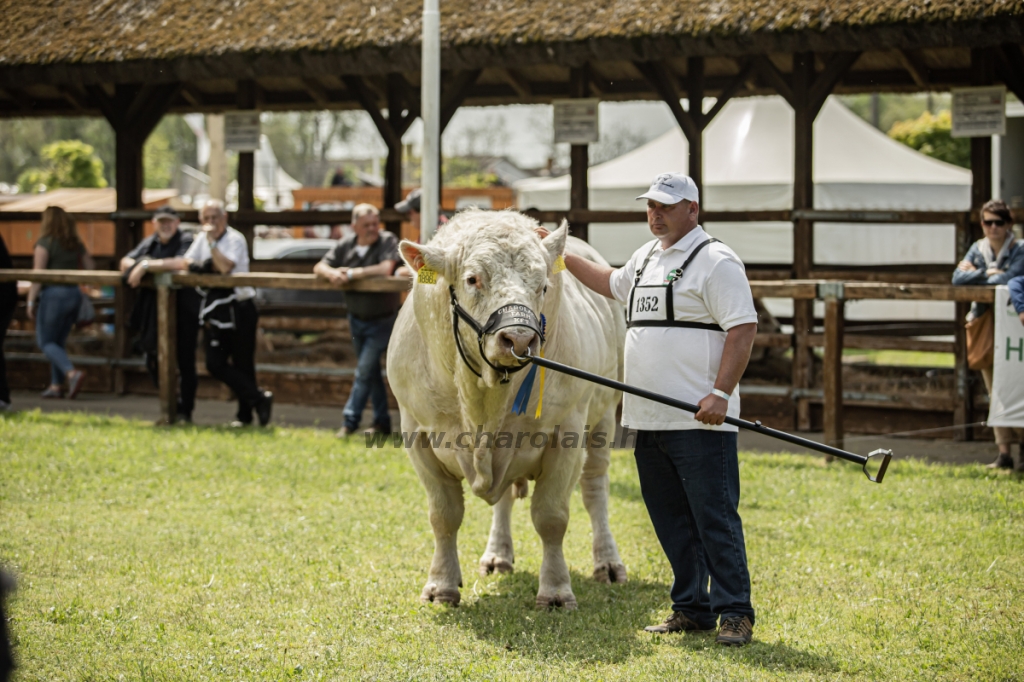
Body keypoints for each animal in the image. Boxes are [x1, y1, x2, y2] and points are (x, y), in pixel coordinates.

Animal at [391, 208, 626, 606]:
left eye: (543, 286)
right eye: (472, 279)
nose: (518, 338)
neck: (481, 401)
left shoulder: (567, 431)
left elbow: (551, 516)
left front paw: (556, 589)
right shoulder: (416, 432)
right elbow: (443, 515)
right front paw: (441, 584)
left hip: (604, 415)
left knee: (595, 489)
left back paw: (607, 562)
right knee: (503, 500)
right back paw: (497, 554)